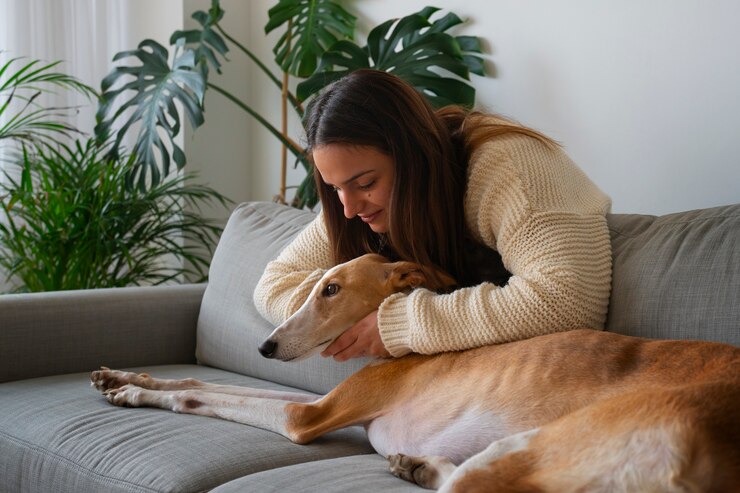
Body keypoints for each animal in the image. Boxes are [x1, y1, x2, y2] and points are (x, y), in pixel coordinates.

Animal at [94, 252, 740, 490]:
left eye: (331, 289)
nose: (265, 348)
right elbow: (201, 379)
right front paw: (125, 378)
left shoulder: (310, 413)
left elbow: (203, 396)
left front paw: (135, 396)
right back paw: (415, 466)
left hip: (576, 431)